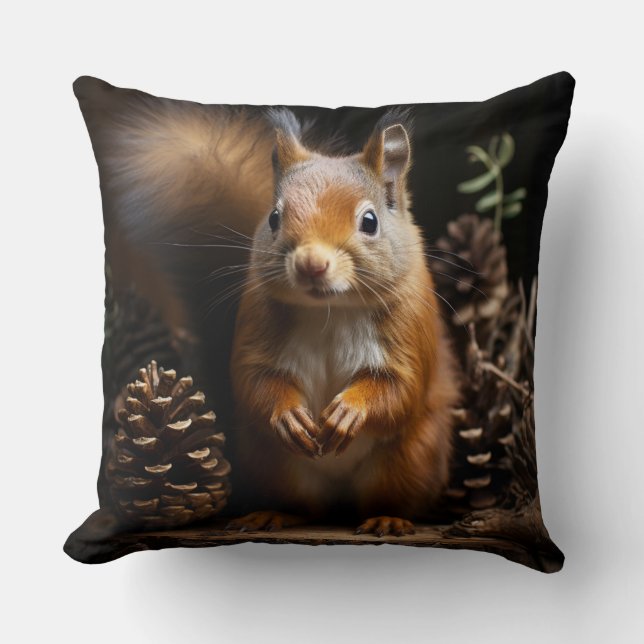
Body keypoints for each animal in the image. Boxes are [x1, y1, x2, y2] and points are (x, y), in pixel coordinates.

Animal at [229, 110, 459, 536]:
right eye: (274, 217)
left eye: (369, 221)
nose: (311, 264)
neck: (330, 311)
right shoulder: (256, 320)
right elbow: (254, 380)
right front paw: (287, 415)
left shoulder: (409, 330)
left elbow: (400, 388)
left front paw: (350, 411)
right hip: (274, 464)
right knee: (308, 507)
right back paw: (276, 514)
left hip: (408, 460)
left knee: (387, 498)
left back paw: (388, 518)